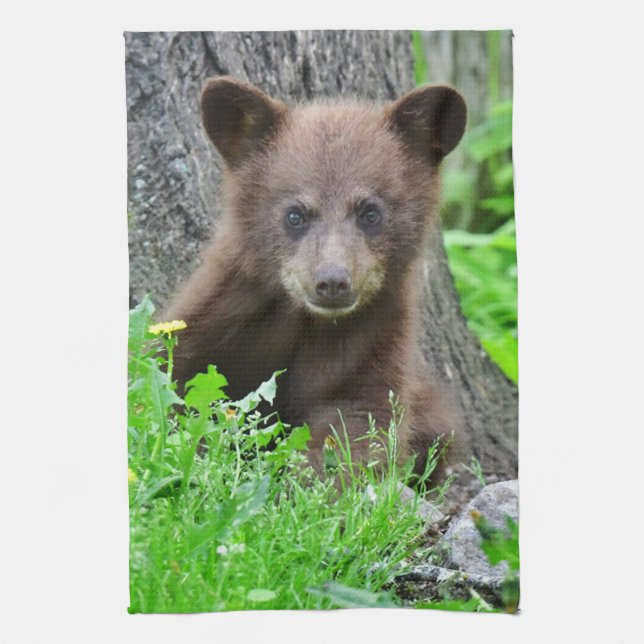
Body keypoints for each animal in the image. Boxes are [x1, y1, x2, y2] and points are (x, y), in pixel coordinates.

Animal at [163, 76, 467, 476]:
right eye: (295, 214)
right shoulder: (218, 315)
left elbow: (359, 424)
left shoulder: (371, 340)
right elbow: (171, 379)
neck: (302, 319)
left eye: (370, 212)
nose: (332, 282)